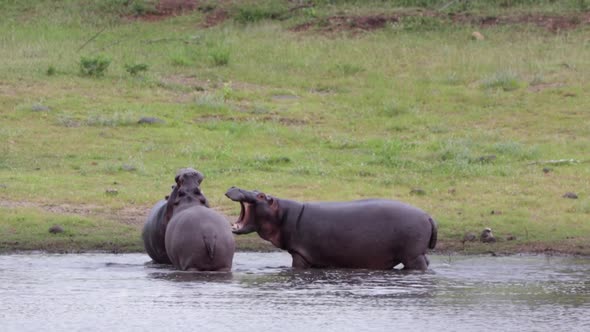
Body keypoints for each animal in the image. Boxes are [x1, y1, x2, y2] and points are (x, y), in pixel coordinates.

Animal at [224, 187, 438, 270]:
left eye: (261, 195)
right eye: (256, 190)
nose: (235, 187)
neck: (283, 213)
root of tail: (428, 215)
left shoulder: (300, 254)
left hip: (412, 256)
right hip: (416, 253)